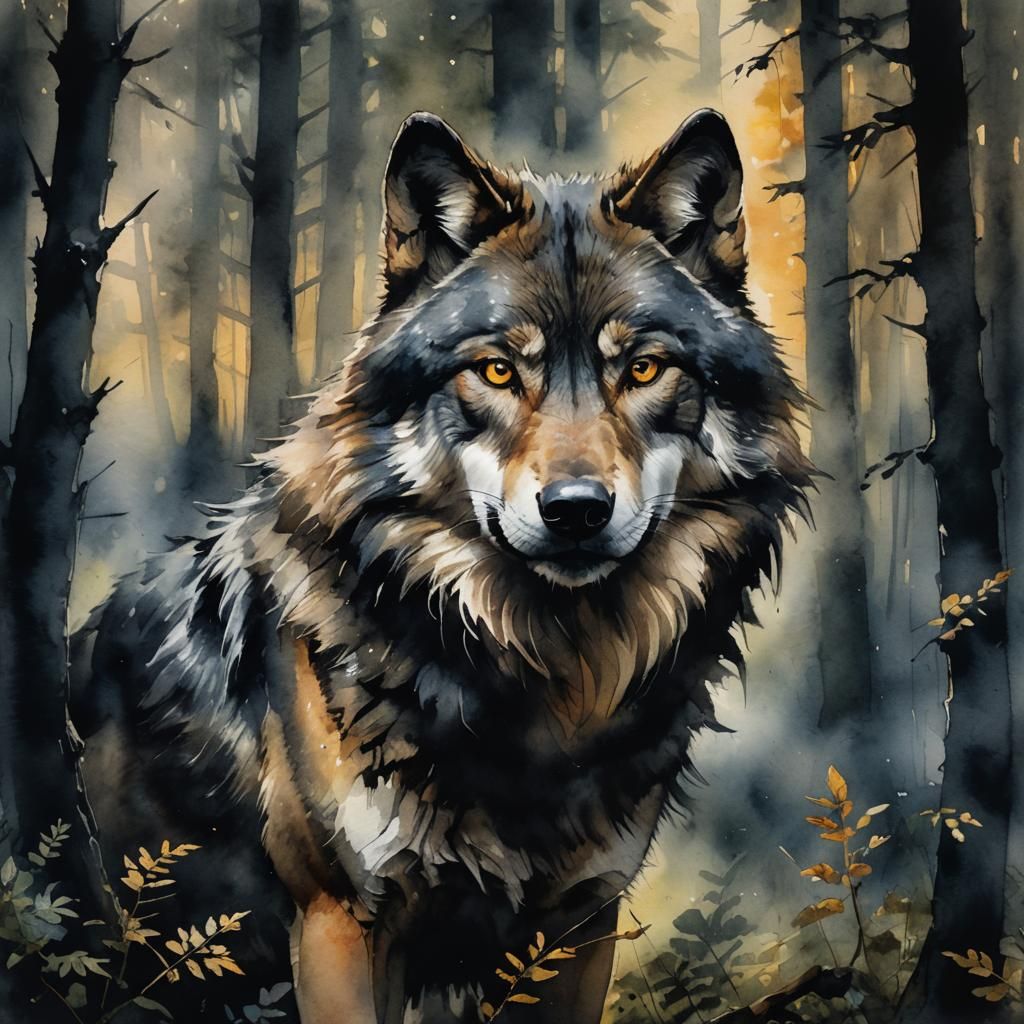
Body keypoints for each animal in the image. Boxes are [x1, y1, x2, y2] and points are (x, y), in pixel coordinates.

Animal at [77, 109, 812, 1023]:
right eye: (496, 370)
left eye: (643, 368)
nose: (576, 509)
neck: (543, 692)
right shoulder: (341, 920)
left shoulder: (580, 925)